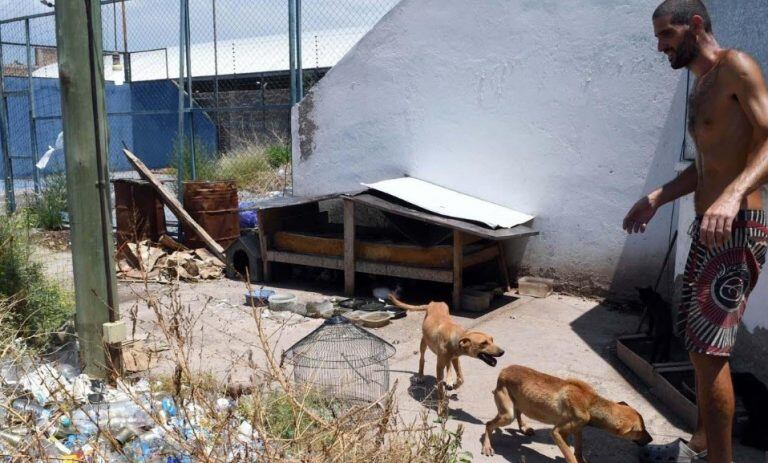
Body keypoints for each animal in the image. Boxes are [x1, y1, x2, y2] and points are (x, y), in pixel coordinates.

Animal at [484, 368, 652, 462]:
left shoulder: (578, 429)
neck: (591, 403)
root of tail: (503, 371)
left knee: (518, 411)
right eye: (640, 431)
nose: (651, 440)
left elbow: (578, 450)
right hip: (507, 414)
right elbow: (570, 456)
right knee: (489, 424)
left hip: (520, 402)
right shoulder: (557, 433)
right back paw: (487, 446)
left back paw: (524, 427)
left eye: (645, 427)